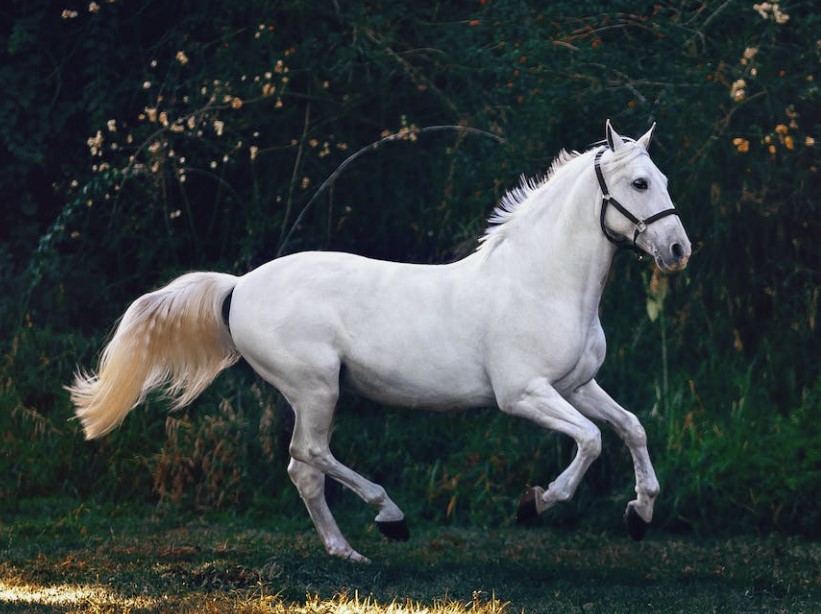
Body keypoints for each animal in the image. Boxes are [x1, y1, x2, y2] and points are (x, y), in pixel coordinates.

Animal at [69, 120, 691, 563]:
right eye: (640, 183)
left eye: (663, 180)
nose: (678, 250)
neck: (541, 281)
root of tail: (239, 286)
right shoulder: (524, 394)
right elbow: (591, 440)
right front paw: (535, 503)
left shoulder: (577, 385)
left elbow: (631, 427)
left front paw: (639, 514)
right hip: (316, 388)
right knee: (309, 455)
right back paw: (389, 517)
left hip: (313, 393)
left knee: (303, 469)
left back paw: (347, 551)